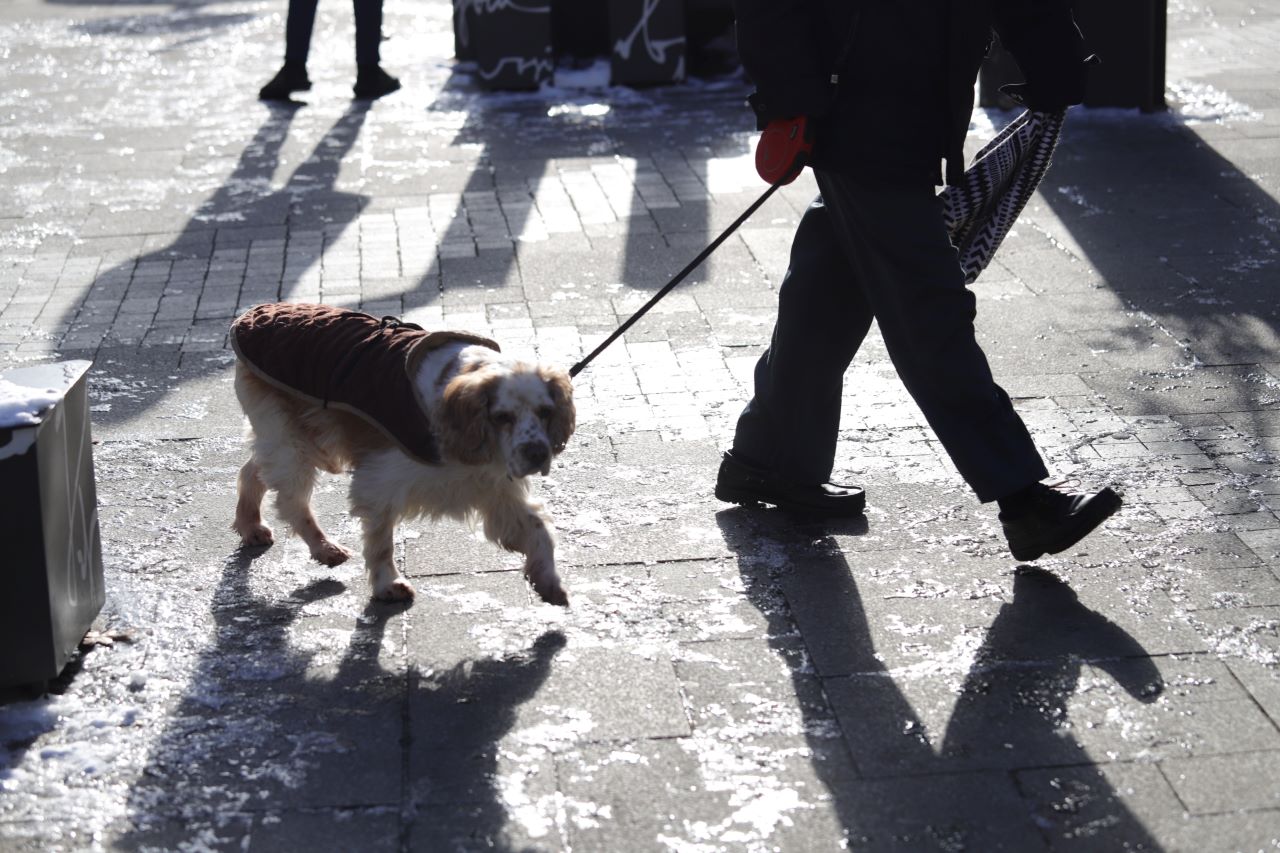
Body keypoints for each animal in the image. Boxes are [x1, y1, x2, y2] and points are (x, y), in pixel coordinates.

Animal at [226, 302, 576, 601]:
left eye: (545, 412)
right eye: (503, 417)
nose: (537, 454)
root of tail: (252, 313)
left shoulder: (493, 486)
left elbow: (538, 527)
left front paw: (549, 581)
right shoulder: (380, 482)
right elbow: (382, 543)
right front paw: (389, 585)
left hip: (300, 439)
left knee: (252, 470)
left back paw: (251, 527)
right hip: (292, 441)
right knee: (291, 501)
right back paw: (324, 547)